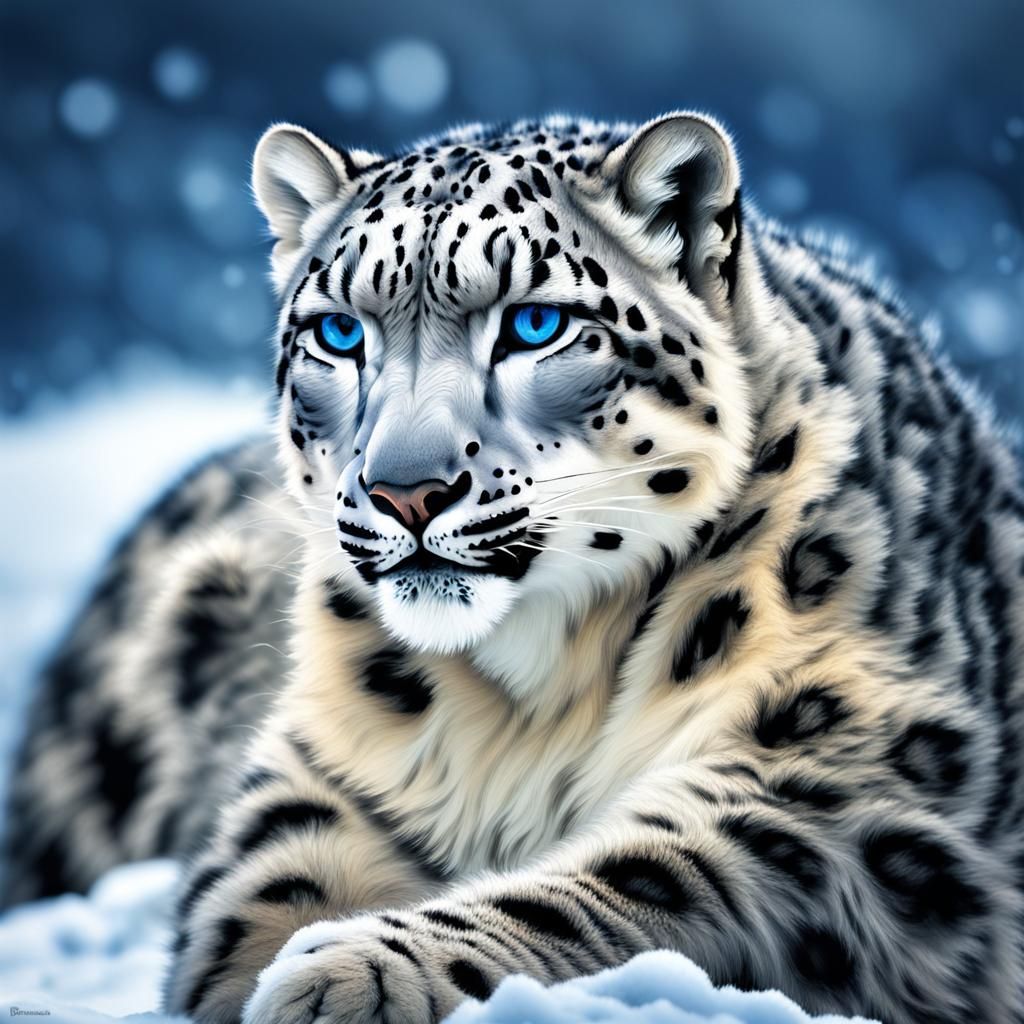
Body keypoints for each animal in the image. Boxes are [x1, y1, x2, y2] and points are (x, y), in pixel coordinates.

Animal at [3, 111, 1023, 1024]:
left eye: (535, 325)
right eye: (339, 334)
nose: (406, 491)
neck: (536, 691)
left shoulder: (844, 782)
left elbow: (649, 880)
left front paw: (353, 976)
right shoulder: (327, 765)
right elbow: (264, 879)